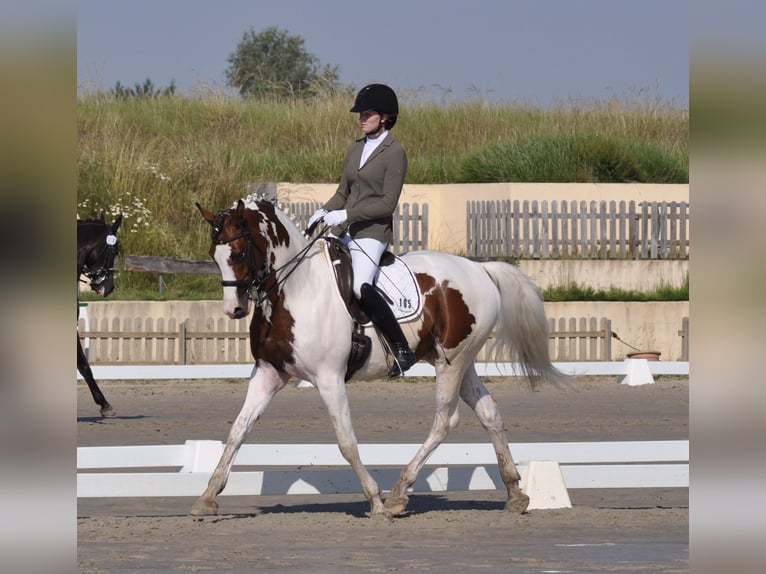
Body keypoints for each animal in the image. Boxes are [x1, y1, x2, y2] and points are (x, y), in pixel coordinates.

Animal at [192, 195, 566, 518]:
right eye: (214, 254)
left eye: (239, 252)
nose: (233, 310)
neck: (295, 290)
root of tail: (480, 269)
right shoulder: (268, 374)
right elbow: (238, 431)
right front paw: (208, 497)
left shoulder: (329, 379)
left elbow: (346, 441)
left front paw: (375, 501)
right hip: (462, 361)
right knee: (489, 412)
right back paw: (515, 493)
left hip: (452, 363)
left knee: (445, 421)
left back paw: (399, 493)